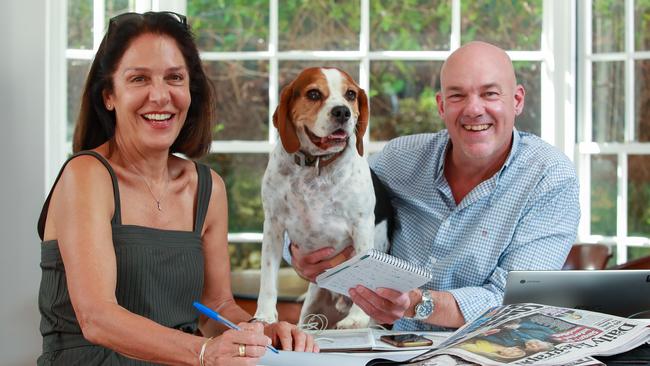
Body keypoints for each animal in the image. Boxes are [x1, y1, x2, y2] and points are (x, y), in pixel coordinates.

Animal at [253, 68, 374, 328]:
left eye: (350, 94)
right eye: (314, 94)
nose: (342, 111)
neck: (316, 163)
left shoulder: (362, 224)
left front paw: (357, 319)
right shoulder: (273, 225)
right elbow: (267, 276)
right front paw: (265, 315)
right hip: (311, 309)